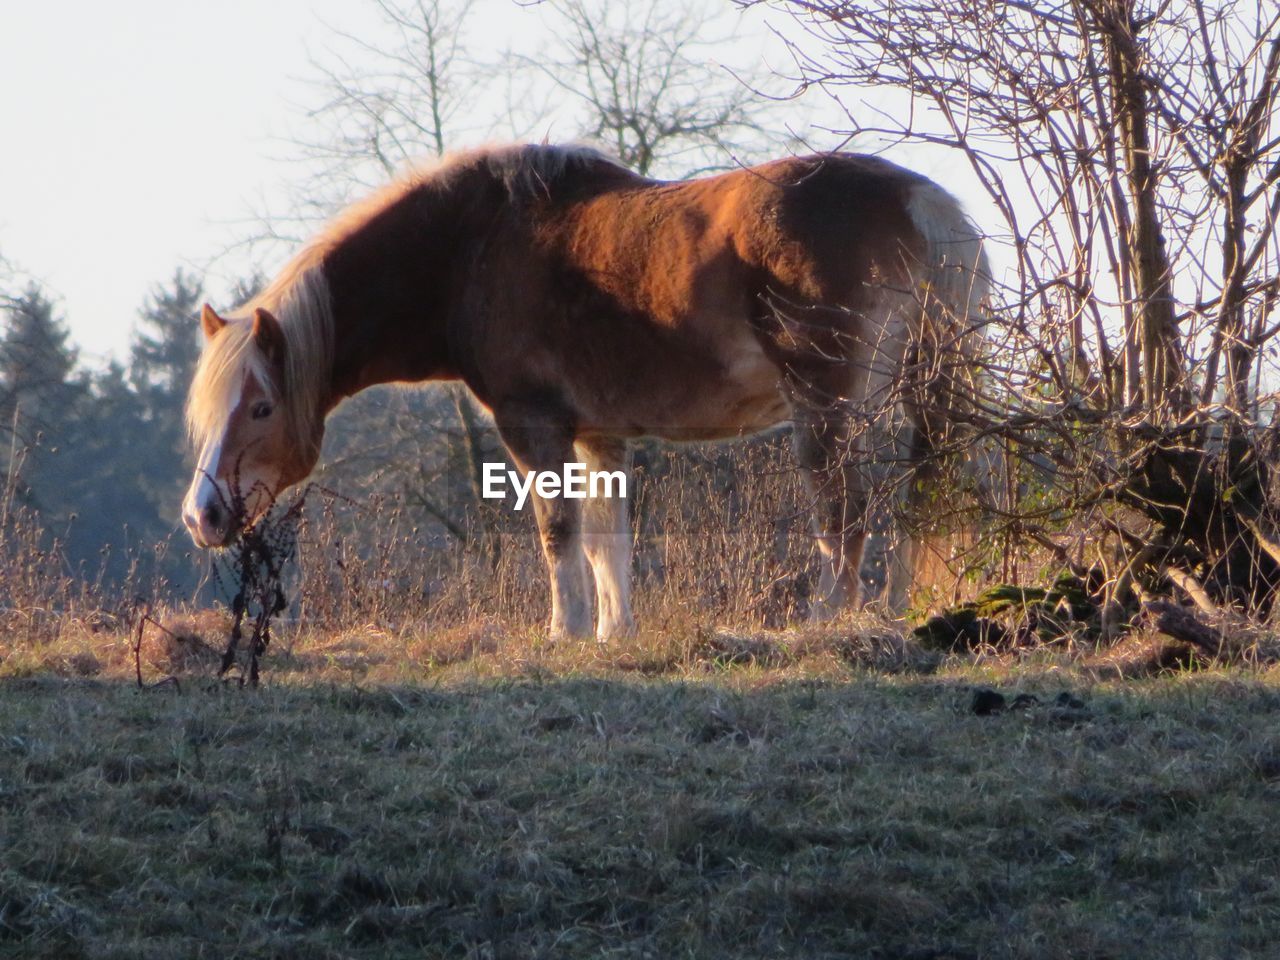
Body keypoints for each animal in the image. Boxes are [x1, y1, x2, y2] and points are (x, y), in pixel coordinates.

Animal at [185, 144, 988, 640]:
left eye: (261, 406)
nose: (203, 516)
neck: (469, 248)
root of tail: (920, 202)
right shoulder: (600, 434)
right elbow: (609, 540)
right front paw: (612, 632)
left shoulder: (533, 426)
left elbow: (558, 531)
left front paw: (563, 630)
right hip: (922, 399)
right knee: (920, 499)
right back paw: (899, 615)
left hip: (826, 413)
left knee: (845, 515)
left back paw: (828, 622)